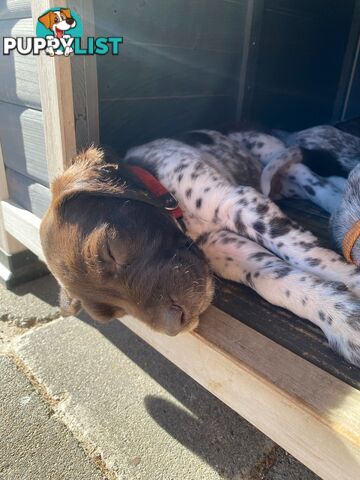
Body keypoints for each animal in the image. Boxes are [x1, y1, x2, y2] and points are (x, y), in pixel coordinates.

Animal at [124, 129, 360, 366]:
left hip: (275, 157)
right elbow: (278, 280)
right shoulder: (223, 246)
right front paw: (340, 318)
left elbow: (307, 253)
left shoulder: (237, 201)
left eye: (116, 249)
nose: (173, 327)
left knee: (313, 179)